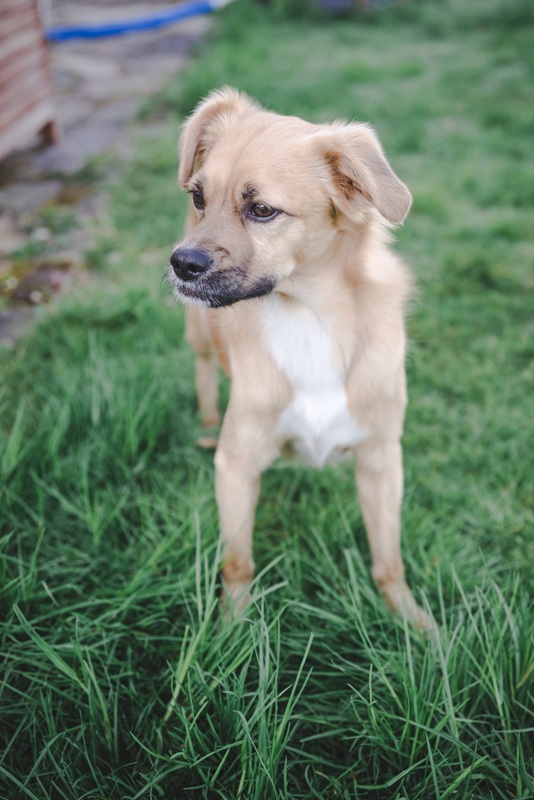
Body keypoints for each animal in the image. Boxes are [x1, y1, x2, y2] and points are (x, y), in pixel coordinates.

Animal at [168, 87, 429, 629]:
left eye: (263, 209)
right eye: (199, 197)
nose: (181, 263)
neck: (309, 315)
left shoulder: (381, 460)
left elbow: (388, 560)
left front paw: (416, 624)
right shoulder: (237, 463)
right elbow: (238, 562)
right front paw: (231, 630)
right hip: (198, 335)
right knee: (204, 372)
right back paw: (205, 422)